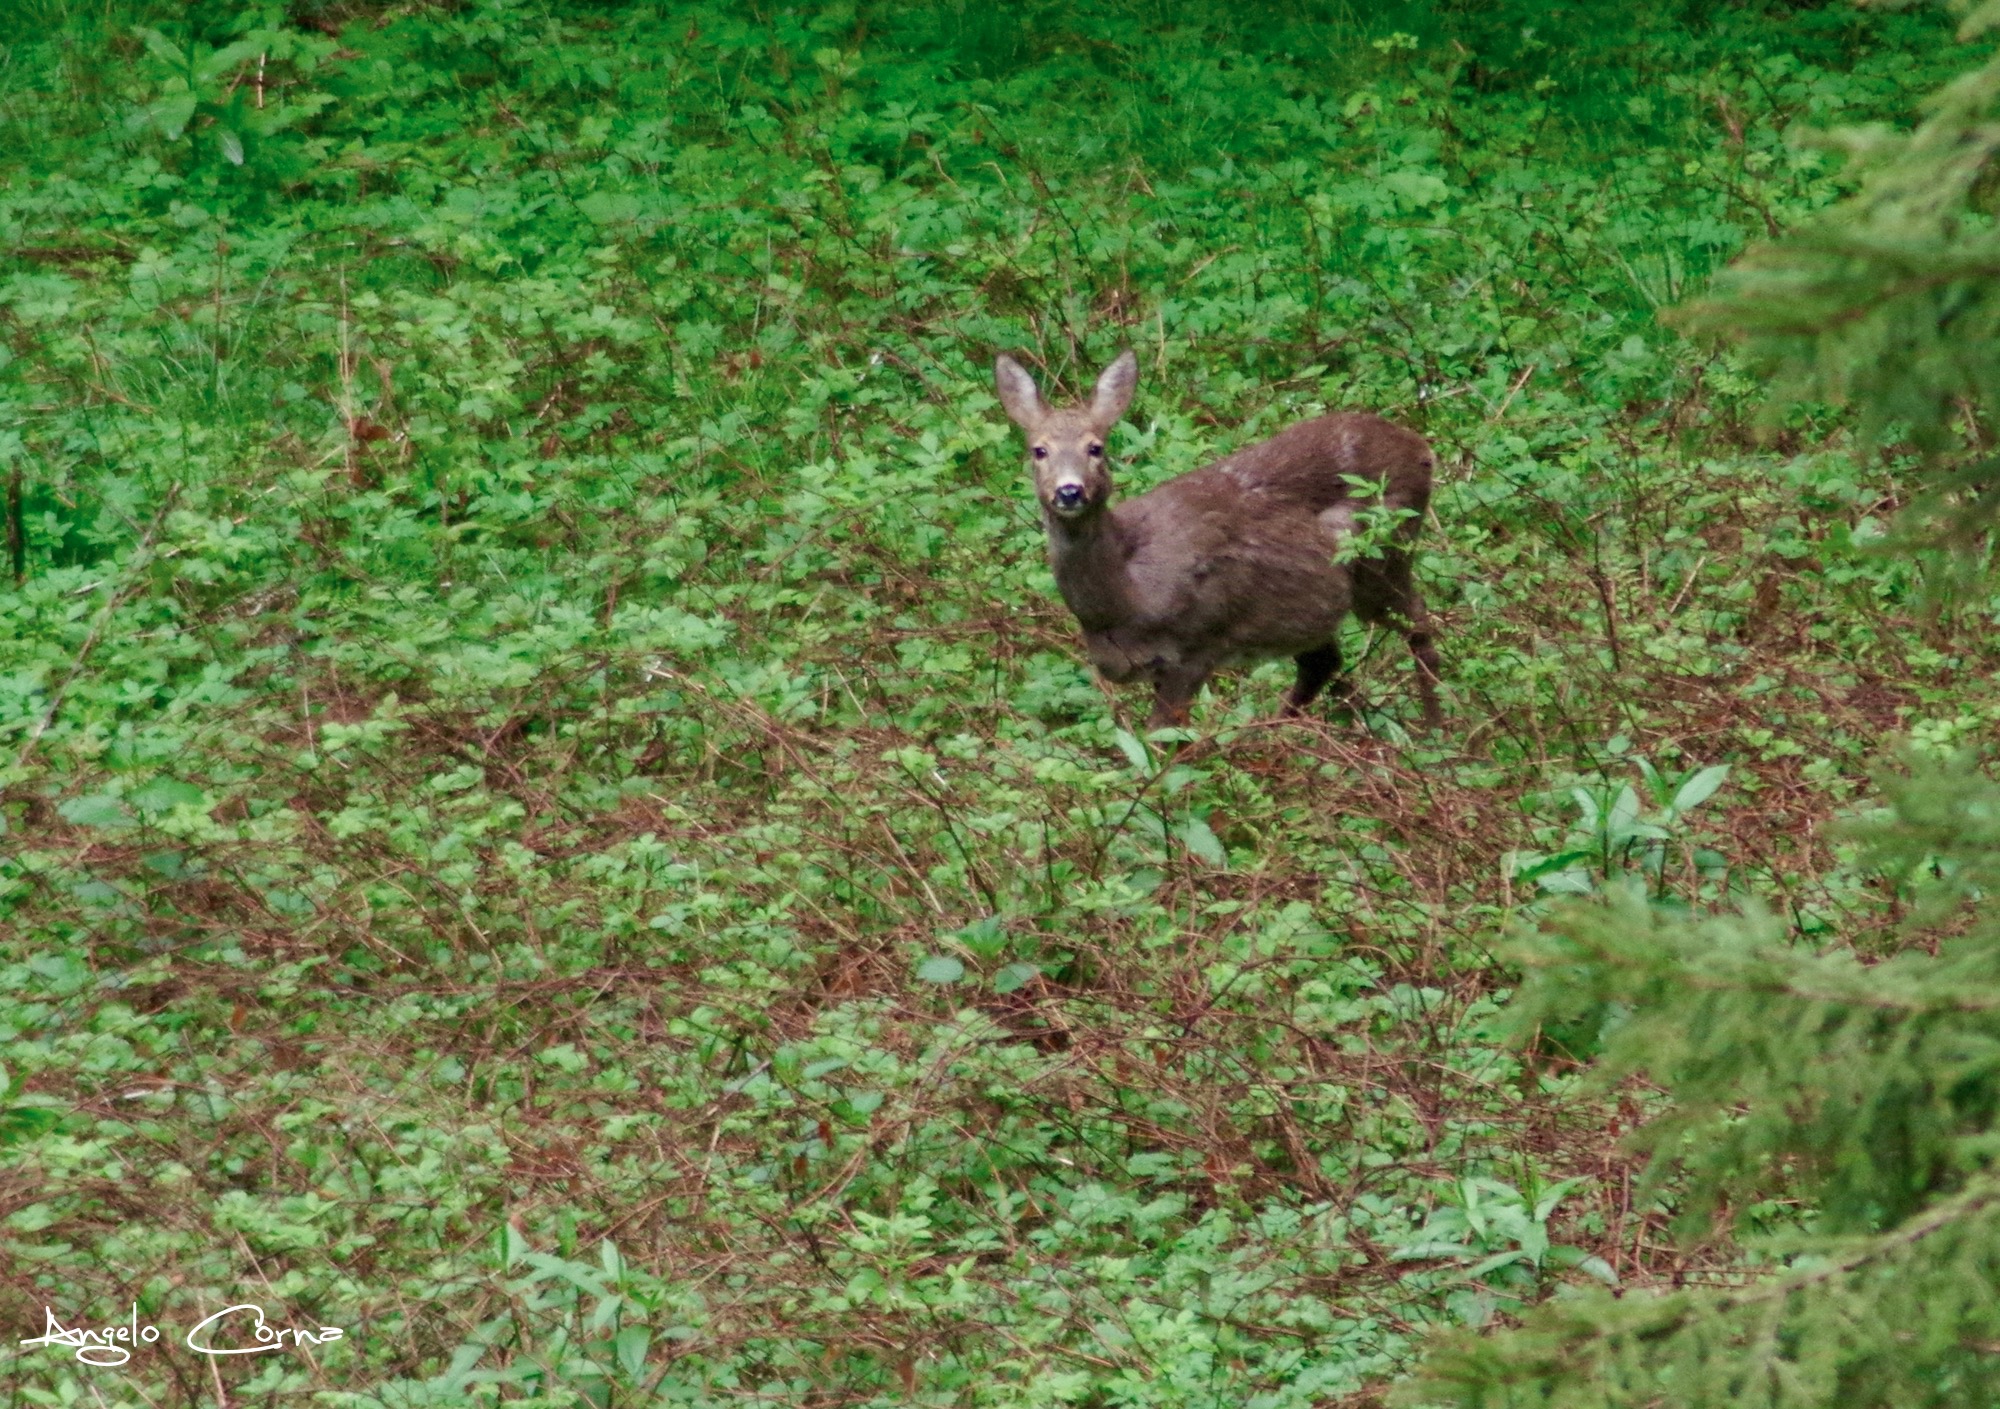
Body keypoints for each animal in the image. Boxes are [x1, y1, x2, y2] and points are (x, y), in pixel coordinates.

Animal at [996, 350, 1440, 728]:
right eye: (1039, 450)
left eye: (1096, 448)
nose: (1069, 491)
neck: (1126, 596)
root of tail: (1422, 448)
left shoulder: (1197, 645)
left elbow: (1163, 739)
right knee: (1324, 661)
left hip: (1384, 553)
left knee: (1417, 621)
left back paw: (1435, 730)